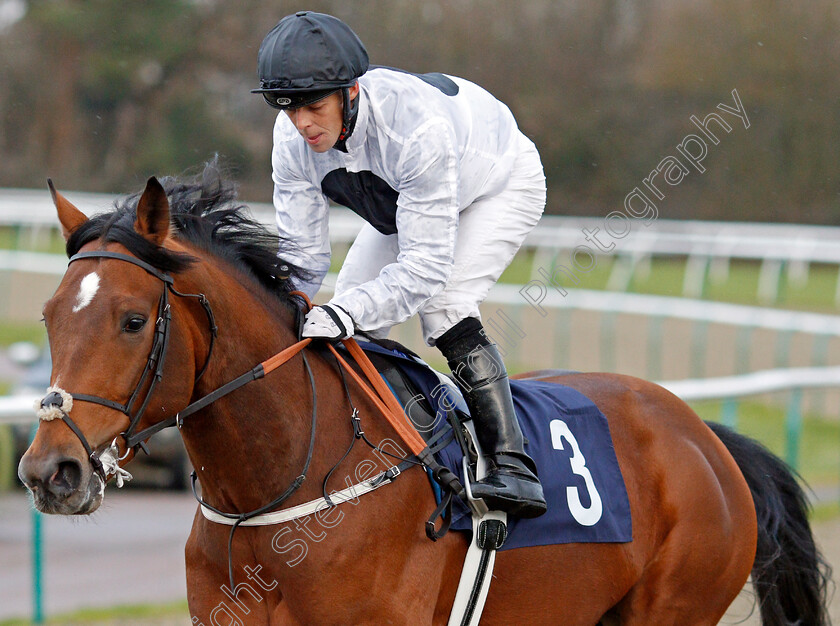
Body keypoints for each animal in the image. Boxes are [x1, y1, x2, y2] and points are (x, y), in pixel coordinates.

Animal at [16, 171, 832, 624]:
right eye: (49, 315)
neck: (281, 486)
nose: (49, 471)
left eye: (131, 320)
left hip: (675, 606)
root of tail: (706, 437)